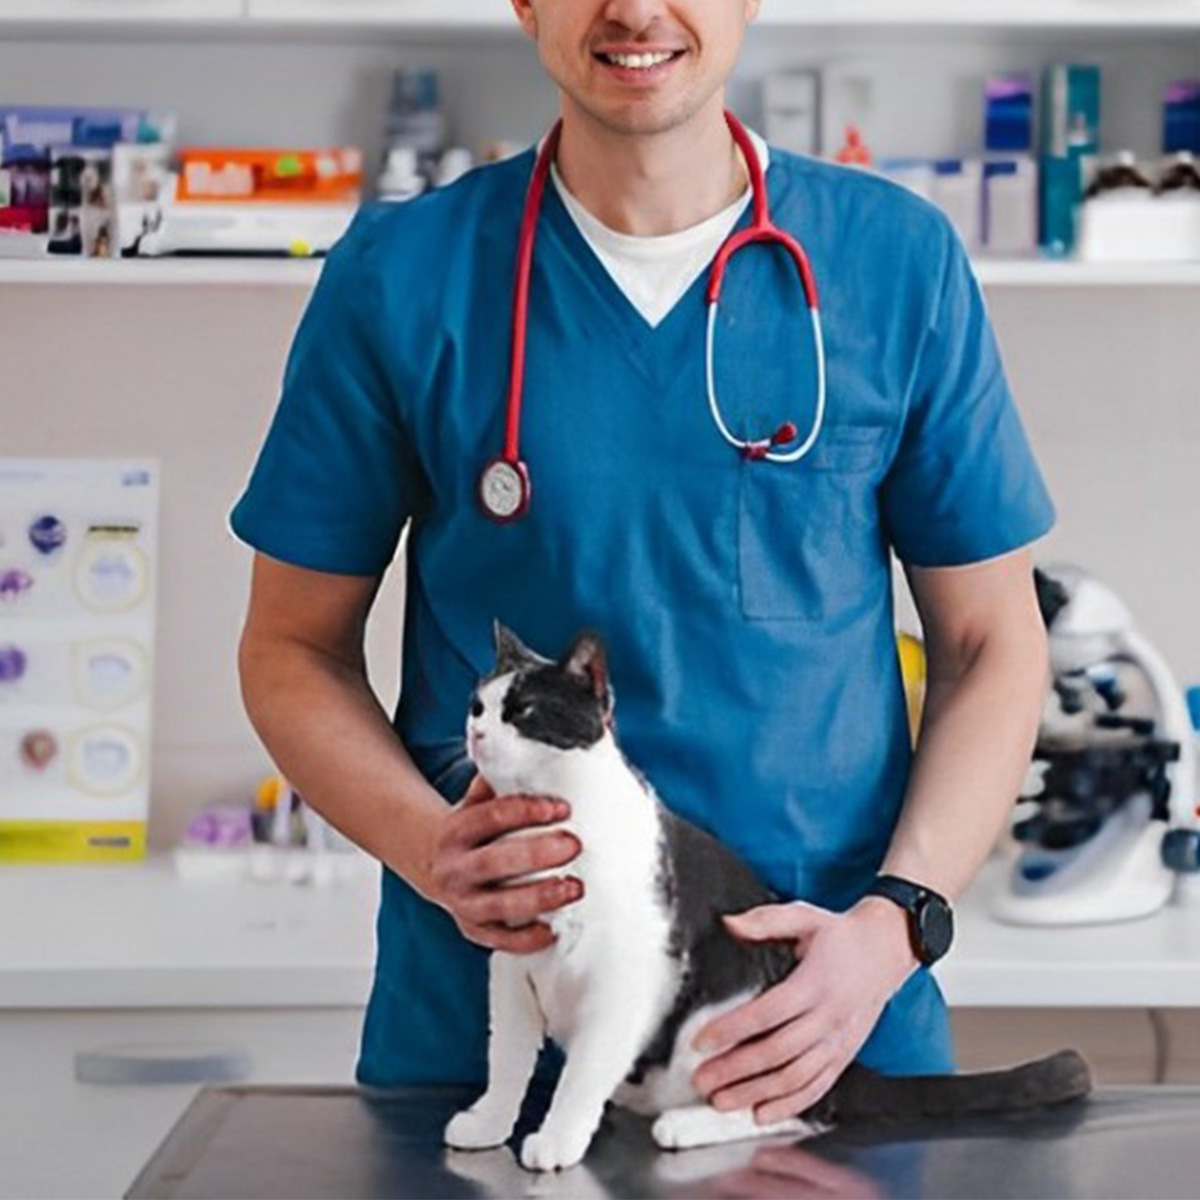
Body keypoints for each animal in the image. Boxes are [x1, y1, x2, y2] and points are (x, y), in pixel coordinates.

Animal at [446, 628, 1094, 1171]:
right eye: (478, 706)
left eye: (523, 711)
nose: (475, 733)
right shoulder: (511, 972)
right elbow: (507, 1063)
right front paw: (488, 1123)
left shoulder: (624, 982)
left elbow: (581, 1071)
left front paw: (557, 1137)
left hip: (721, 1016)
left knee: (795, 1112)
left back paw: (686, 1125)